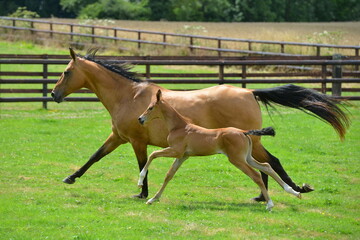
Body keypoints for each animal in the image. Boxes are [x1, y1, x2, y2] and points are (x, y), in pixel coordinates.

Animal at [138, 90, 300, 210]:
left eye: (150, 107)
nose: (140, 119)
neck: (180, 126)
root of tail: (243, 132)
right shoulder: (183, 156)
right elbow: (169, 175)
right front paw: (153, 199)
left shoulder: (175, 151)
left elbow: (152, 154)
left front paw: (140, 181)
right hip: (247, 158)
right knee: (266, 166)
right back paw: (294, 192)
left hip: (237, 159)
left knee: (256, 175)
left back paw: (270, 204)